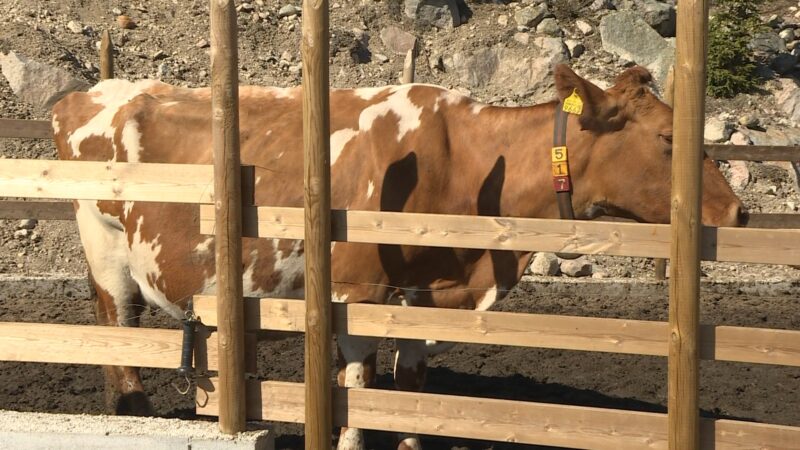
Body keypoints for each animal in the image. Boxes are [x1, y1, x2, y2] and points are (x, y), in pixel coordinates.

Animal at [53, 64, 744, 450]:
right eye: (667, 138)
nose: (736, 211)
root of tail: (85, 94)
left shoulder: (426, 292)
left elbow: (410, 384)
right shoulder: (355, 291)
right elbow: (358, 391)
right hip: (105, 246)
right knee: (118, 333)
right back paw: (135, 411)